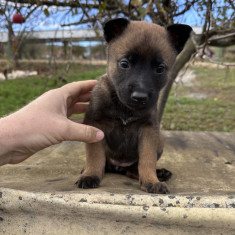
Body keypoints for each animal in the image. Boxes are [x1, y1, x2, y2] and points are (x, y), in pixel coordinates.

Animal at [76, 18, 192, 194]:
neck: (125, 108)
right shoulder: (96, 126)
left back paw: (158, 174)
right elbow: (95, 156)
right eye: (124, 64)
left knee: (133, 170)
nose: (139, 97)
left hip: (159, 140)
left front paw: (151, 180)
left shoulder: (149, 131)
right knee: (105, 164)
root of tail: (119, 167)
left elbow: (147, 159)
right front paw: (90, 175)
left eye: (160, 68)